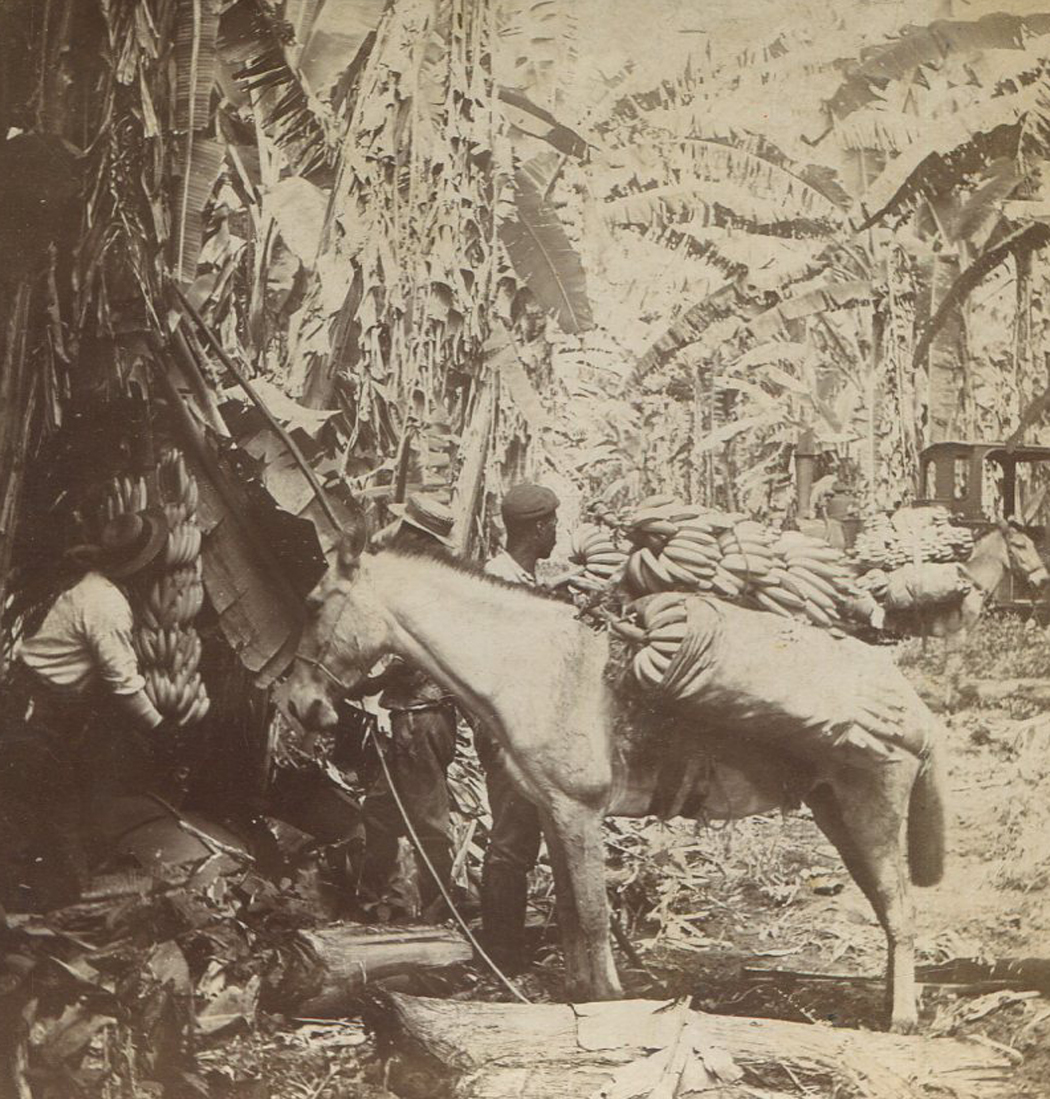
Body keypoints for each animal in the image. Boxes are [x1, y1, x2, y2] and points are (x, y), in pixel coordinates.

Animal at [281, 518, 947, 1032]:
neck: (531, 664)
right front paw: (578, 994)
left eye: (314, 605)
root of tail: (914, 710)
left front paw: (609, 1000)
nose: (300, 707)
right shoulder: (552, 810)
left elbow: (594, 913)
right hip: (838, 812)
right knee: (889, 908)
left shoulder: (580, 810)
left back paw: (902, 1019)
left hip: (871, 811)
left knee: (903, 912)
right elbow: (573, 914)